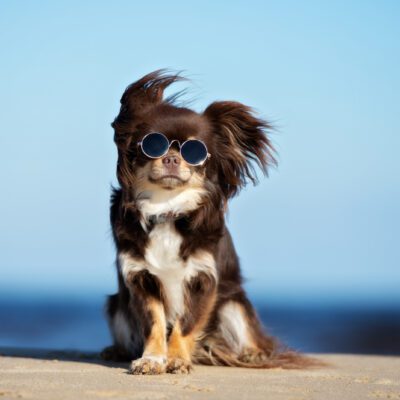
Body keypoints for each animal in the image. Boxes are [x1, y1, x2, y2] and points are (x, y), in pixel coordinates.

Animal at [101, 70, 316, 374]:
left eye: (195, 152)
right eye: (151, 145)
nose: (171, 158)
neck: (167, 210)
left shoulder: (203, 281)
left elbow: (185, 325)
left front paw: (177, 359)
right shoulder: (141, 279)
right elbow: (154, 324)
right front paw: (153, 359)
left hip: (233, 303)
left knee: (247, 332)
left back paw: (252, 354)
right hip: (116, 305)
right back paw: (117, 350)